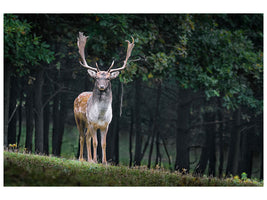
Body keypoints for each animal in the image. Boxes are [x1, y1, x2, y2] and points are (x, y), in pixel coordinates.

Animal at [74, 32, 135, 164]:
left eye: (108, 78)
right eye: (96, 78)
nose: (101, 86)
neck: (101, 115)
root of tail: (78, 96)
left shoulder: (106, 125)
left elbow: (103, 143)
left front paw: (104, 162)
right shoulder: (92, 123)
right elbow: (95, 142)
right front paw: (95, 160)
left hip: (88, 124)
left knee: (87, 137)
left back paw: (89, 159)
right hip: (79, 119)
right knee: (82, 137)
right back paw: (82, 158)